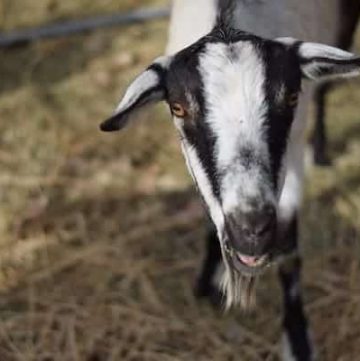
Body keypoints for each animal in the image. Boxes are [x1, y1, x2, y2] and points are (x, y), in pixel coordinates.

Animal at [100, 1, 360, 358]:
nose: (251, 230)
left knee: (324, 91)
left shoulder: (290, 157)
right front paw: (209, 280)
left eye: (292, 98)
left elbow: (289, 248)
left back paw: (319, 150)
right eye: (178, 108)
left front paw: (298, 342)